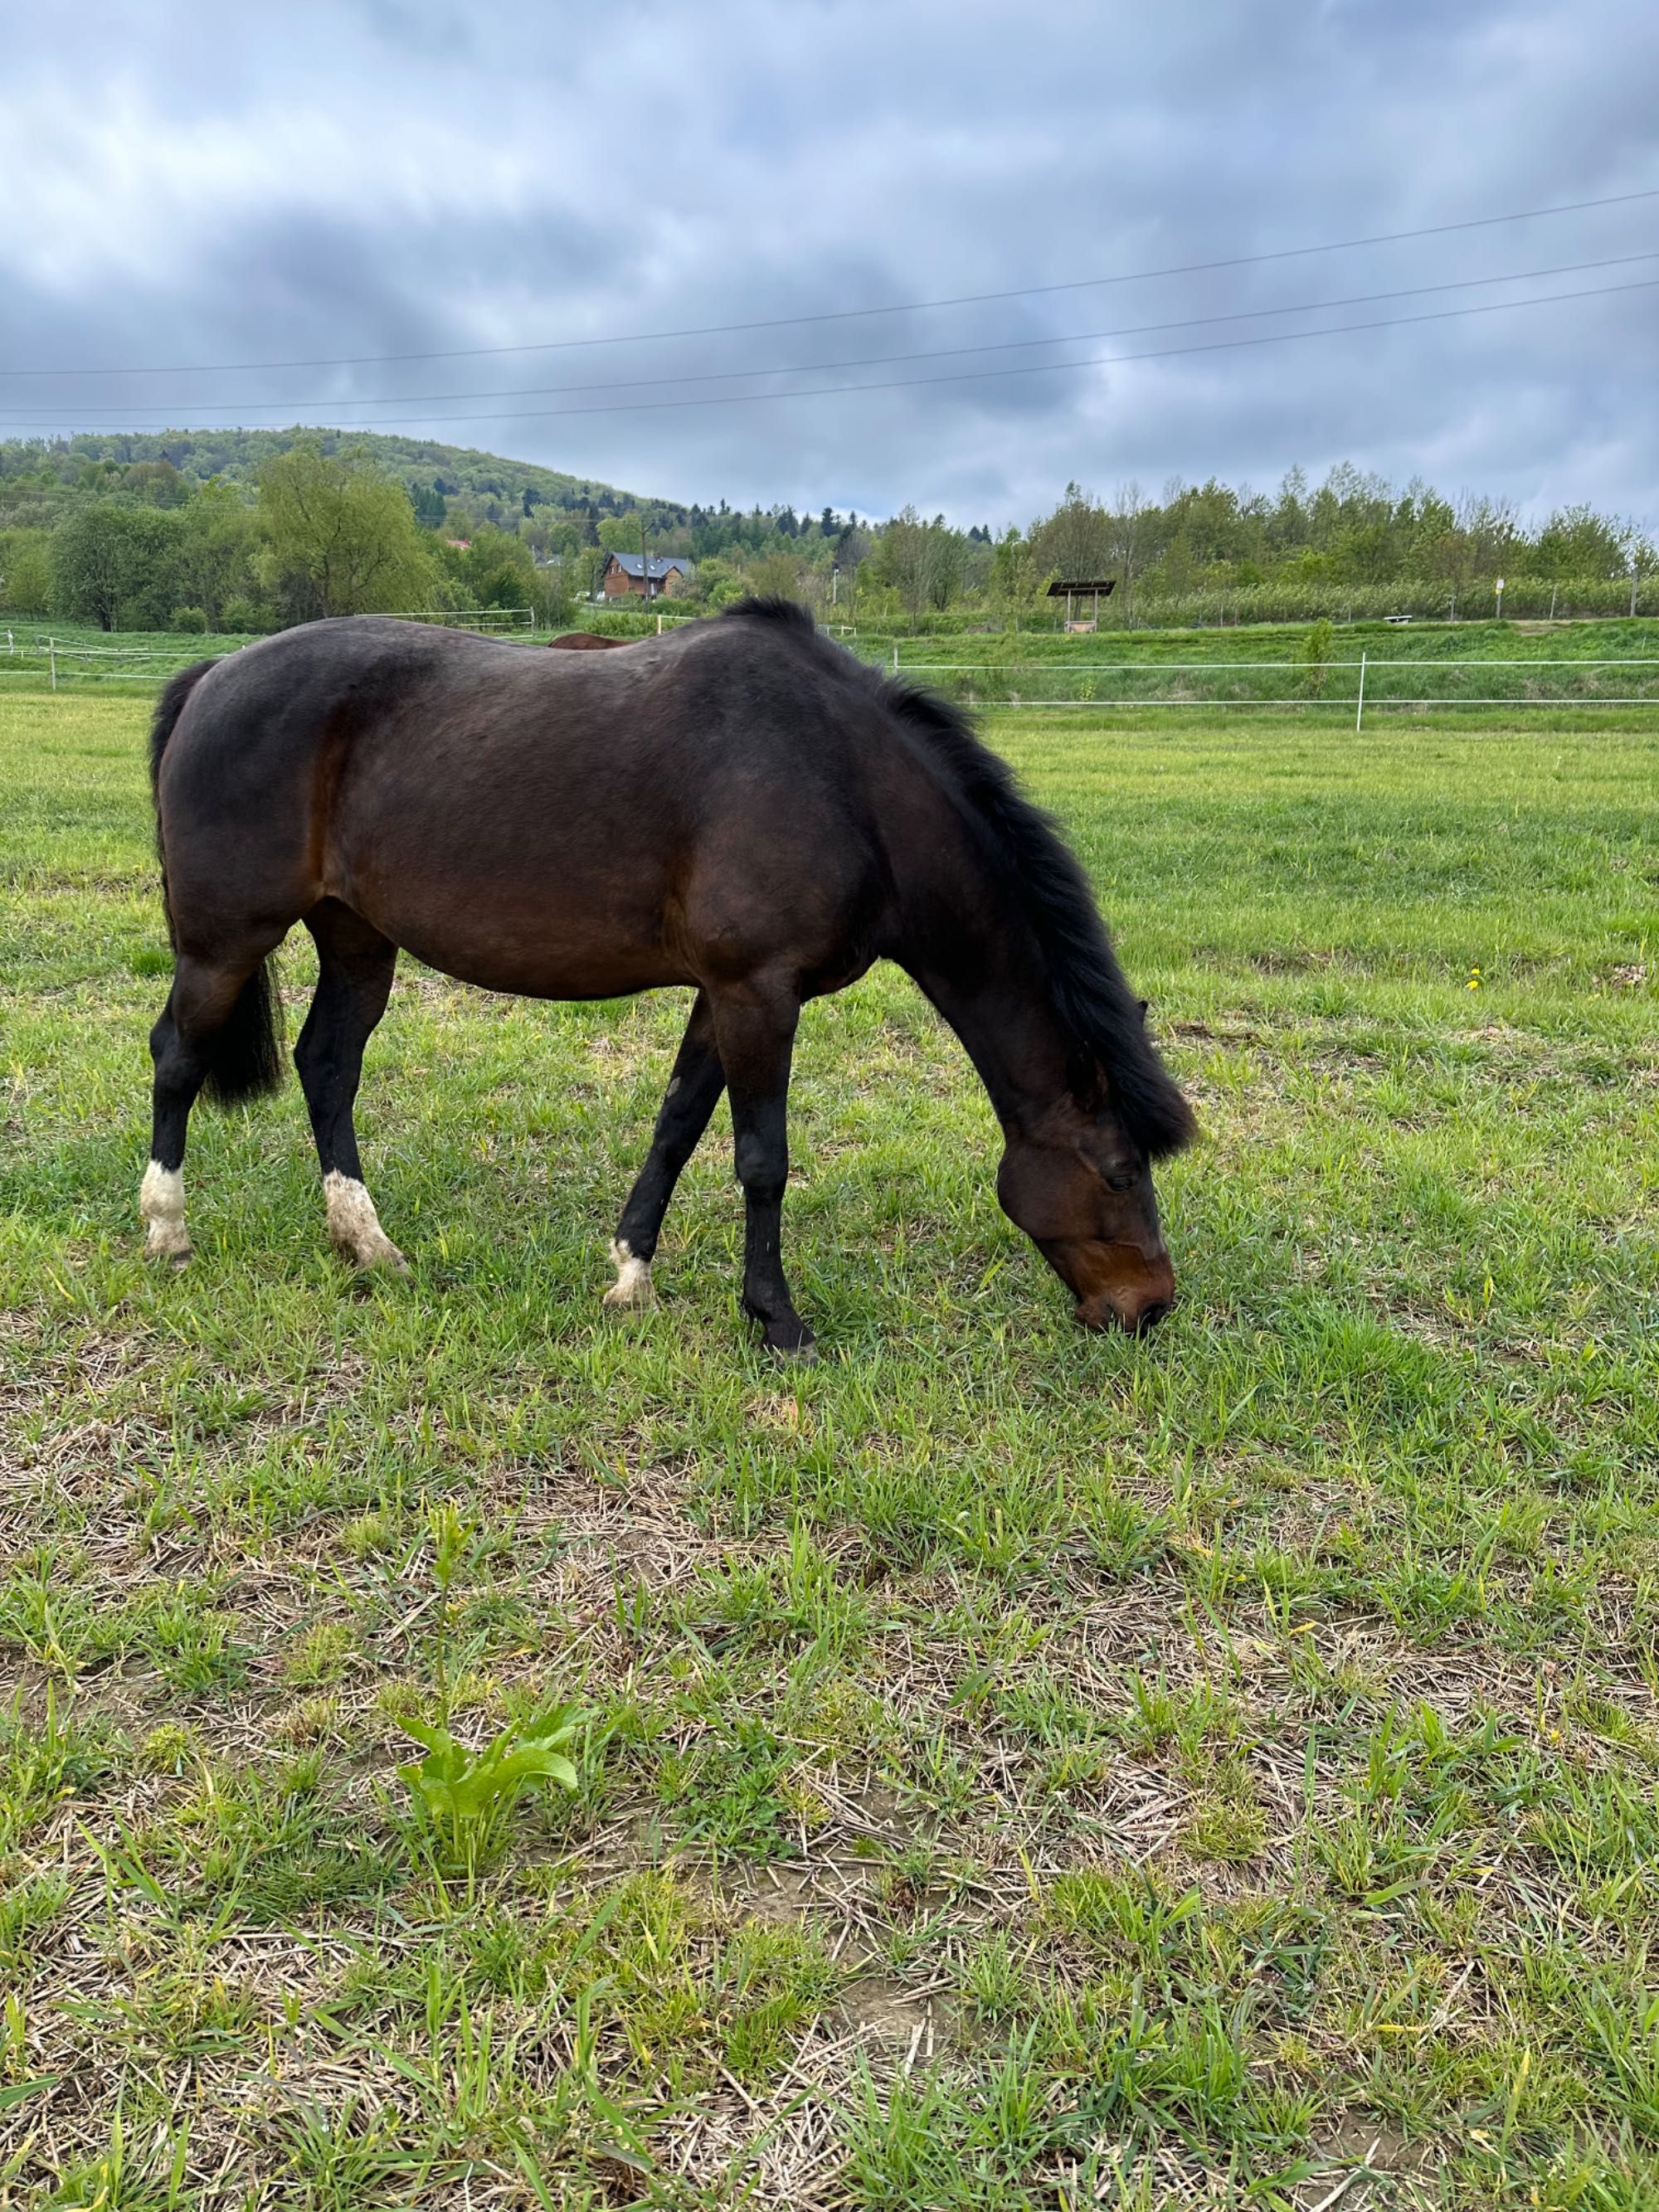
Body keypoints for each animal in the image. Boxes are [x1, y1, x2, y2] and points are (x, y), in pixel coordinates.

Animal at [143, 601, 1194, 1344]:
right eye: (1115, 1171)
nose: (1150, 1306)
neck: (845, 784)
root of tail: (214, 675)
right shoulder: (757, 993)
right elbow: (761, 1159)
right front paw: (776, 1319)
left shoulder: (724, 998)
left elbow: (677, 1128)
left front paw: (629, 1277)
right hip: (223, 943)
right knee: (176, 1058)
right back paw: (167, 1233)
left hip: (357, 940)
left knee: (328, 1066)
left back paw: (367, 1246)